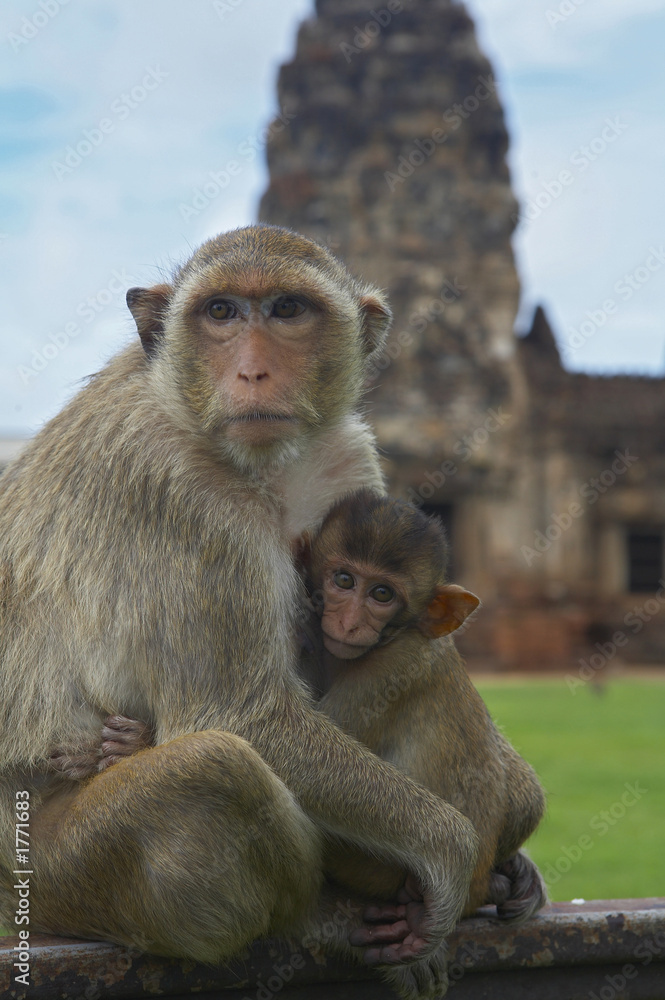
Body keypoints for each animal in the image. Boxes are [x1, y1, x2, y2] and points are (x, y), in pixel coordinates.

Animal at [0, 225, 478, 1000]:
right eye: (221, 312)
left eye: (287, 310)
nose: (253, 372)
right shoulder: (186, 496)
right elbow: (242, 717)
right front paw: (448, 848)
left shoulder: (344, 456)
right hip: (48, 870)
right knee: (215, 772)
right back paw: (318, 921)